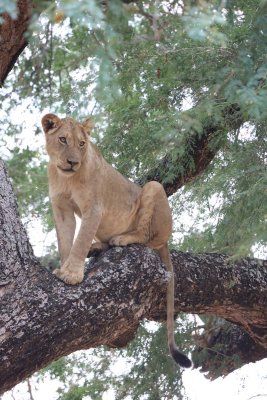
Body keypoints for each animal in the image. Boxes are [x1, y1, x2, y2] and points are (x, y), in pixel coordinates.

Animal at [41, 113, 193, 368]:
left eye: (81, 144)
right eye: (62, 139)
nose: (73, 162)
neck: (66, 177)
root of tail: (167, 241)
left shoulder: (94, 209)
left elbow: (80, 241)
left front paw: (72, 275)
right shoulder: (61, 208)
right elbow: (66, 241)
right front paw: (64, 269)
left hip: (153, 189)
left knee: (146, 238)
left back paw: (120, 239)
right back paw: (98, 247)